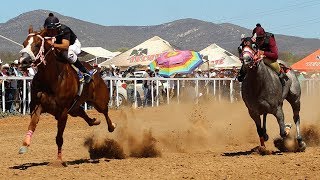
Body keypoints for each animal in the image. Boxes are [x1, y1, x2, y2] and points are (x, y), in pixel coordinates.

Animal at [17, 26, 115, 160]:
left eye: (37, 44)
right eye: (24, 43)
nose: (23, 61)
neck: (51, 78)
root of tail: (95, 71)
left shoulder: (63, 111)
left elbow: (59, 138)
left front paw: (59, 159)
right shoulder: (37, 105)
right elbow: (32, 124)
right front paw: (24, 145)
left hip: (99, 101)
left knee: (105, 111)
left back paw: (111, 126)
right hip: (74, 108)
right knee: (83, 114)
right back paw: (94, 121)